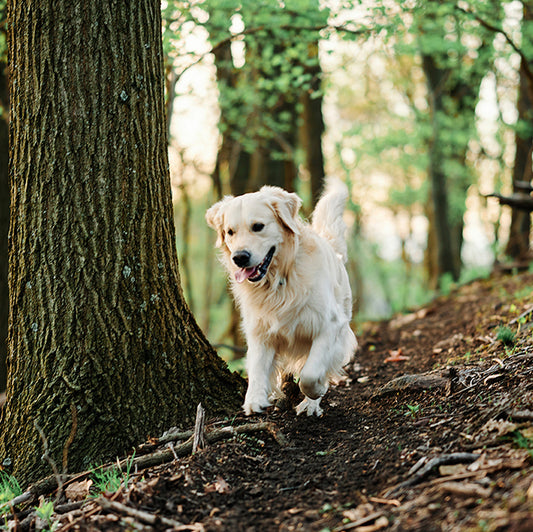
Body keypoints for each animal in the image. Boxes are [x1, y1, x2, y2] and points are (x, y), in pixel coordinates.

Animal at [206, 179, 356, 416]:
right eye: (230, 232)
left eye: (258, 226)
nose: (239, 257)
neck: (279, 282)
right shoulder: (260, 331)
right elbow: (257, 367)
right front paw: (254, 399)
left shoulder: (330, 325)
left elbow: (310, 374)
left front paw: (315, 392)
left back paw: (310, 404)